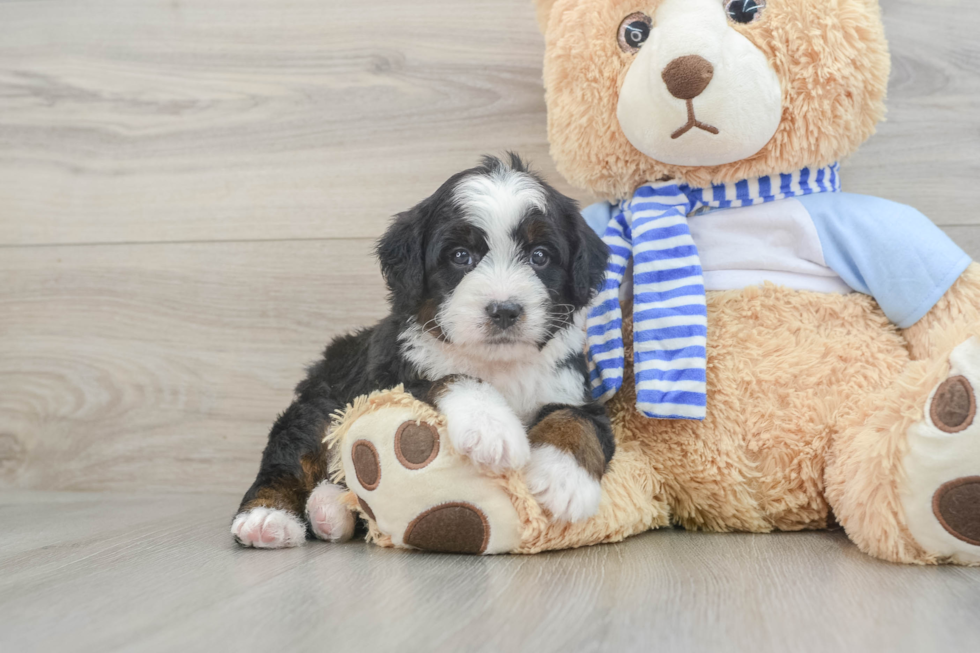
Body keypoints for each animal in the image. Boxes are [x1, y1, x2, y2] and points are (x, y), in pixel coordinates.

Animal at [232, 153, 612, 544]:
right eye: (460, 255)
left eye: (539, 256)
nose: (504, 310)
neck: (497, 365)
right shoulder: (389, 383)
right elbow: (452, 377)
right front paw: (492, 427)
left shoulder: (571, 388)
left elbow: (578, 420)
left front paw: (563, 480)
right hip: (319, 406)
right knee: (290, 459)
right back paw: (267, 518)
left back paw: (329, 510)